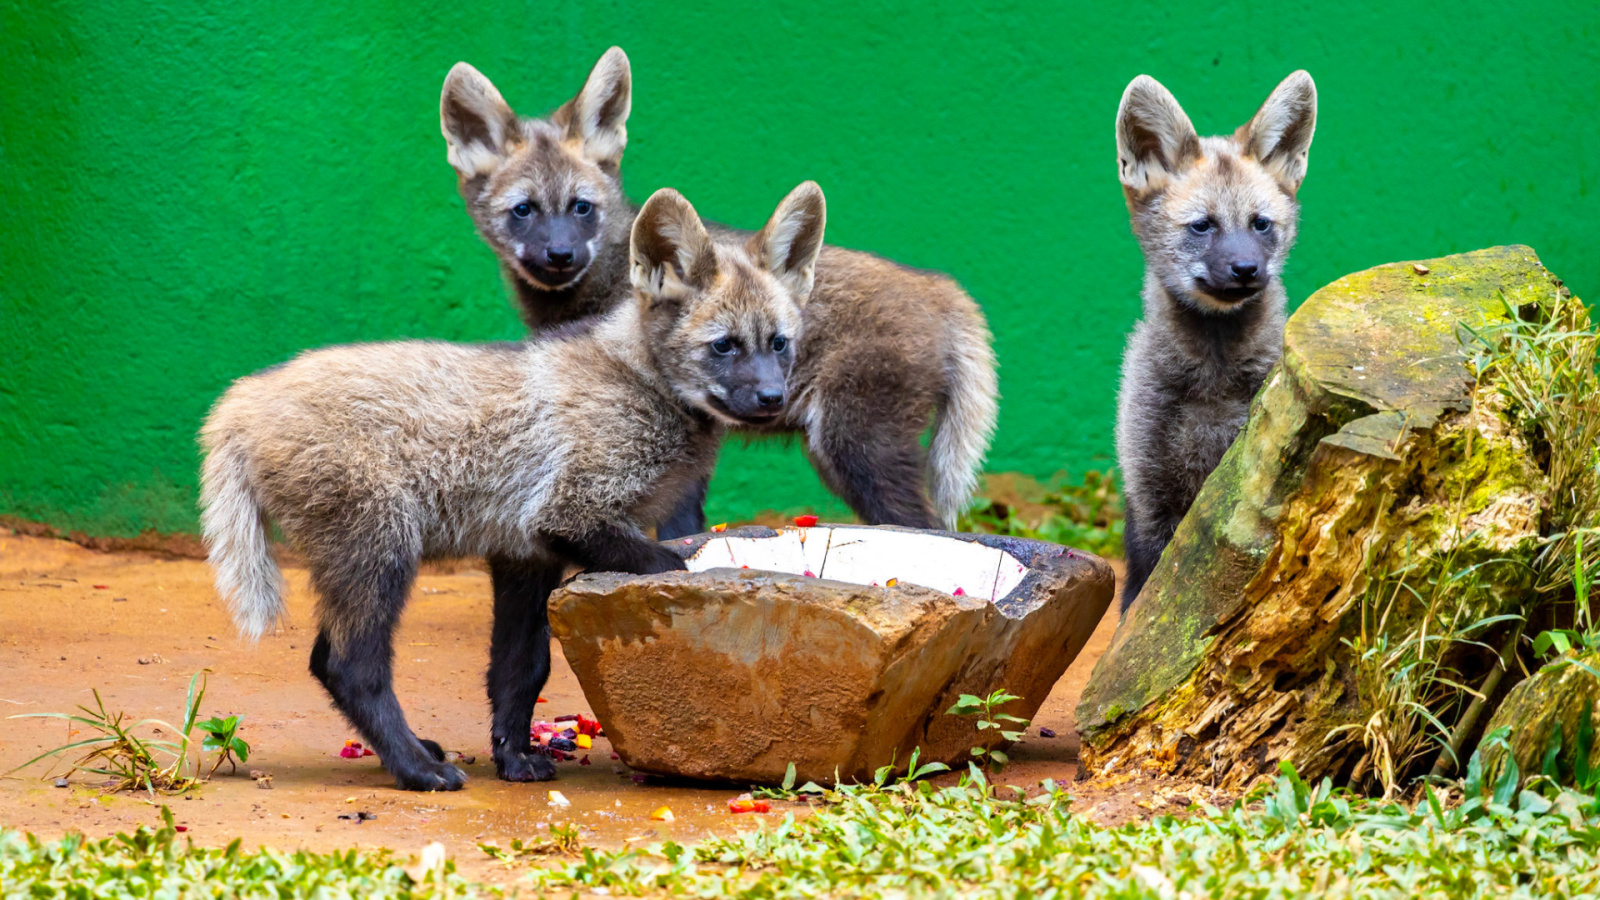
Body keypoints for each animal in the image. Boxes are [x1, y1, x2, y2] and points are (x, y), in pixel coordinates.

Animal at [199, 183, 824, 791]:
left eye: (779, 344)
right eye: (725, 346)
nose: (773, 399)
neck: (640, 383)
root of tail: (241, 398)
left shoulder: (526, 553)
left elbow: (521, 671)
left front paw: (515, 759)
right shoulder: (569, 515)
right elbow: (667, 564)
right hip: (382, 550)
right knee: (348, 666)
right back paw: (417, 770)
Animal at [439, 48, 998, 536]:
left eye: (582, 208)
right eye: (524, 210)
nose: (561, 256)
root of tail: (940, 287)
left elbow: (673, 525)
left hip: (855, 450)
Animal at [1113, 70, 1317, 611]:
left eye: (1260, 224)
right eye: (1202, 226)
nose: (1246, 270)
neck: (1215, 379)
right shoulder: (1149, 496)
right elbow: (1140, 604)